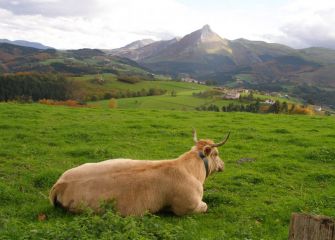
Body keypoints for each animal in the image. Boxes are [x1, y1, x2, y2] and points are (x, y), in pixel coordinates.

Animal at [48, 130, 230, 217]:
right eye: (216, 154)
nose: (223, 165)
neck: (190, 169)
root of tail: (60, 184)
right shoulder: (187, 207)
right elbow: (205, 206)